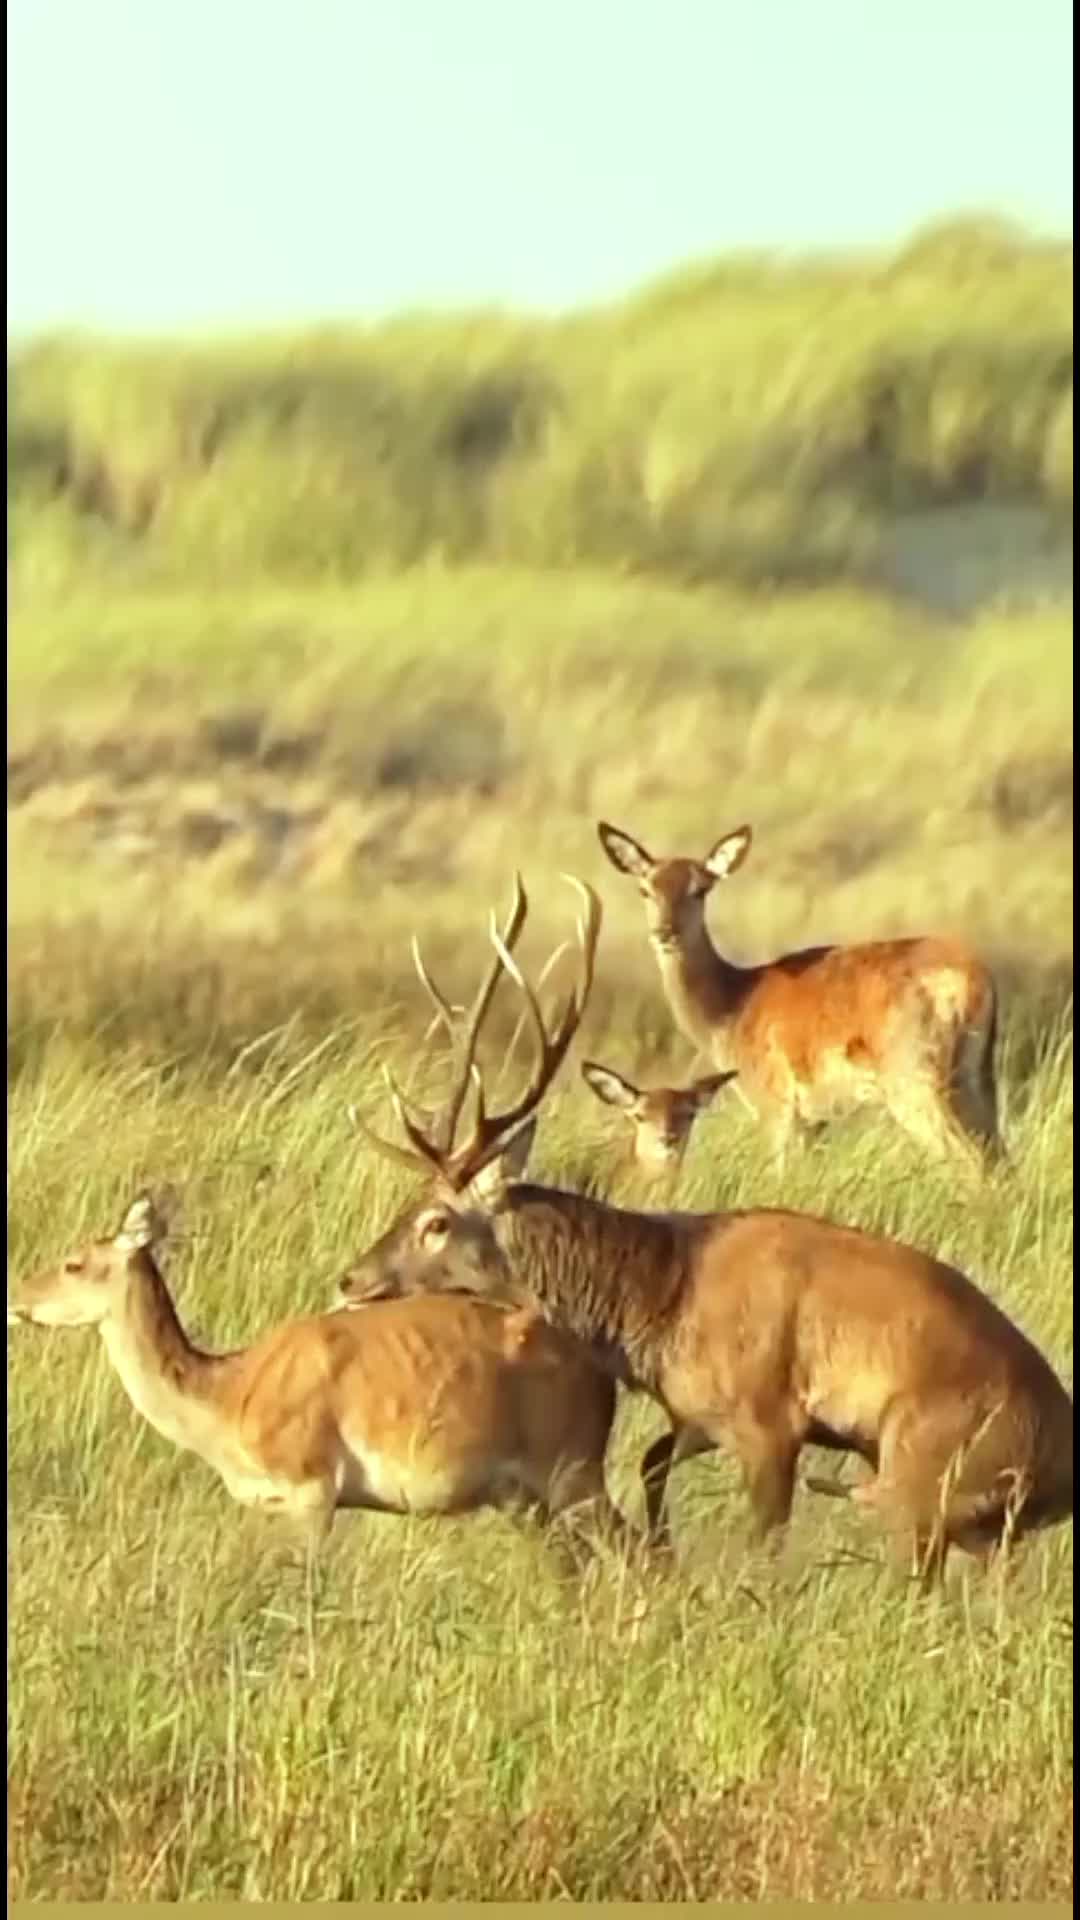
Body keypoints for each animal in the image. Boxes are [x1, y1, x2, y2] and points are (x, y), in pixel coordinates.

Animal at [6, 1191, 632, 1567]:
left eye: (75, 1262)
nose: (17, 1301)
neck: (230, 1388)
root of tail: (600, 1370)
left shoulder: (313, 1494)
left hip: (575, 1481)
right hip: (528, 1503)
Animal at [595, 819, 1003, 1175]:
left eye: (700, 889)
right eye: (645, 889)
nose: (665, 933)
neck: (730, 1012)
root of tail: (978, 980)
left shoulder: (775, 1104)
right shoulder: (812, 1119)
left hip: (916, 1079)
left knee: (971, 1162)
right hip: (975, 1080)